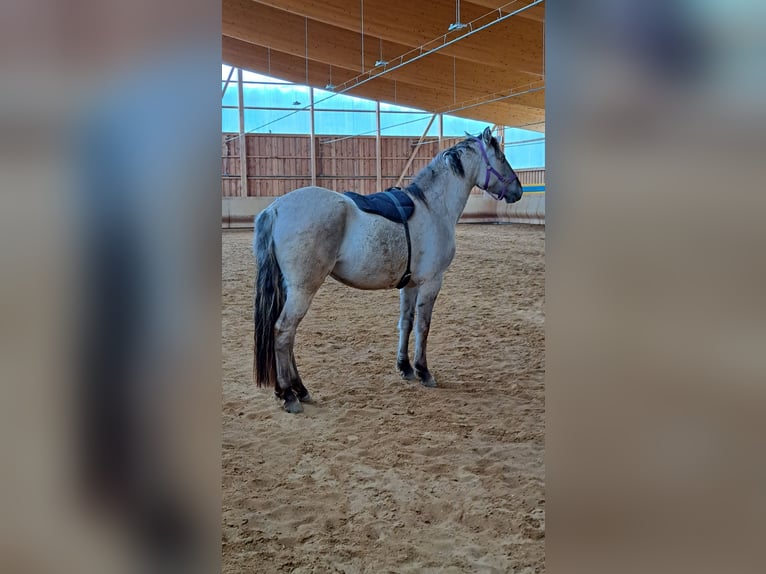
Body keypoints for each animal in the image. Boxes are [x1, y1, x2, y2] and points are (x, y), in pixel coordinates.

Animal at [255, 126, 524, 414]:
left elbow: (406, 322)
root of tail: (275, 208)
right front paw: (423, 371)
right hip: (303, 289)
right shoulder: (431, 282)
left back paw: (298, 389)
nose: (518, 191)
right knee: (283, 332)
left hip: (290, 289)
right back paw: (289, 394)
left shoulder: (410, 285)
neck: (432, 207)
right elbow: (423, 327)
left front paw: (405, 368)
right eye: (502, 157)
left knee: (287, 335)